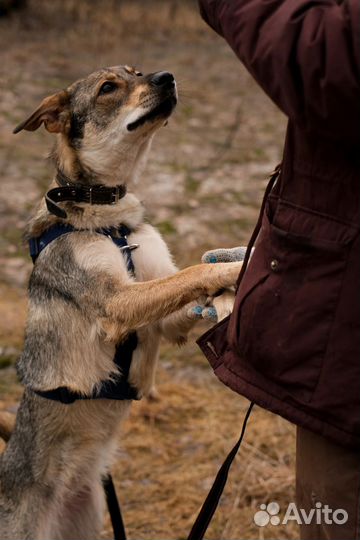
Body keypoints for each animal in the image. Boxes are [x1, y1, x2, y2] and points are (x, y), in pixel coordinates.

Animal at [0, 65, 242, 536]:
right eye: (108, 88)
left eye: (138, 72)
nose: (167, 76)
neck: (112, 222)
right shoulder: (116, 301)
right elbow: (195, 272)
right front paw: (240, 266)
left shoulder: (160, 319)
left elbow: (190, 285)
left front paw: (226, 295)